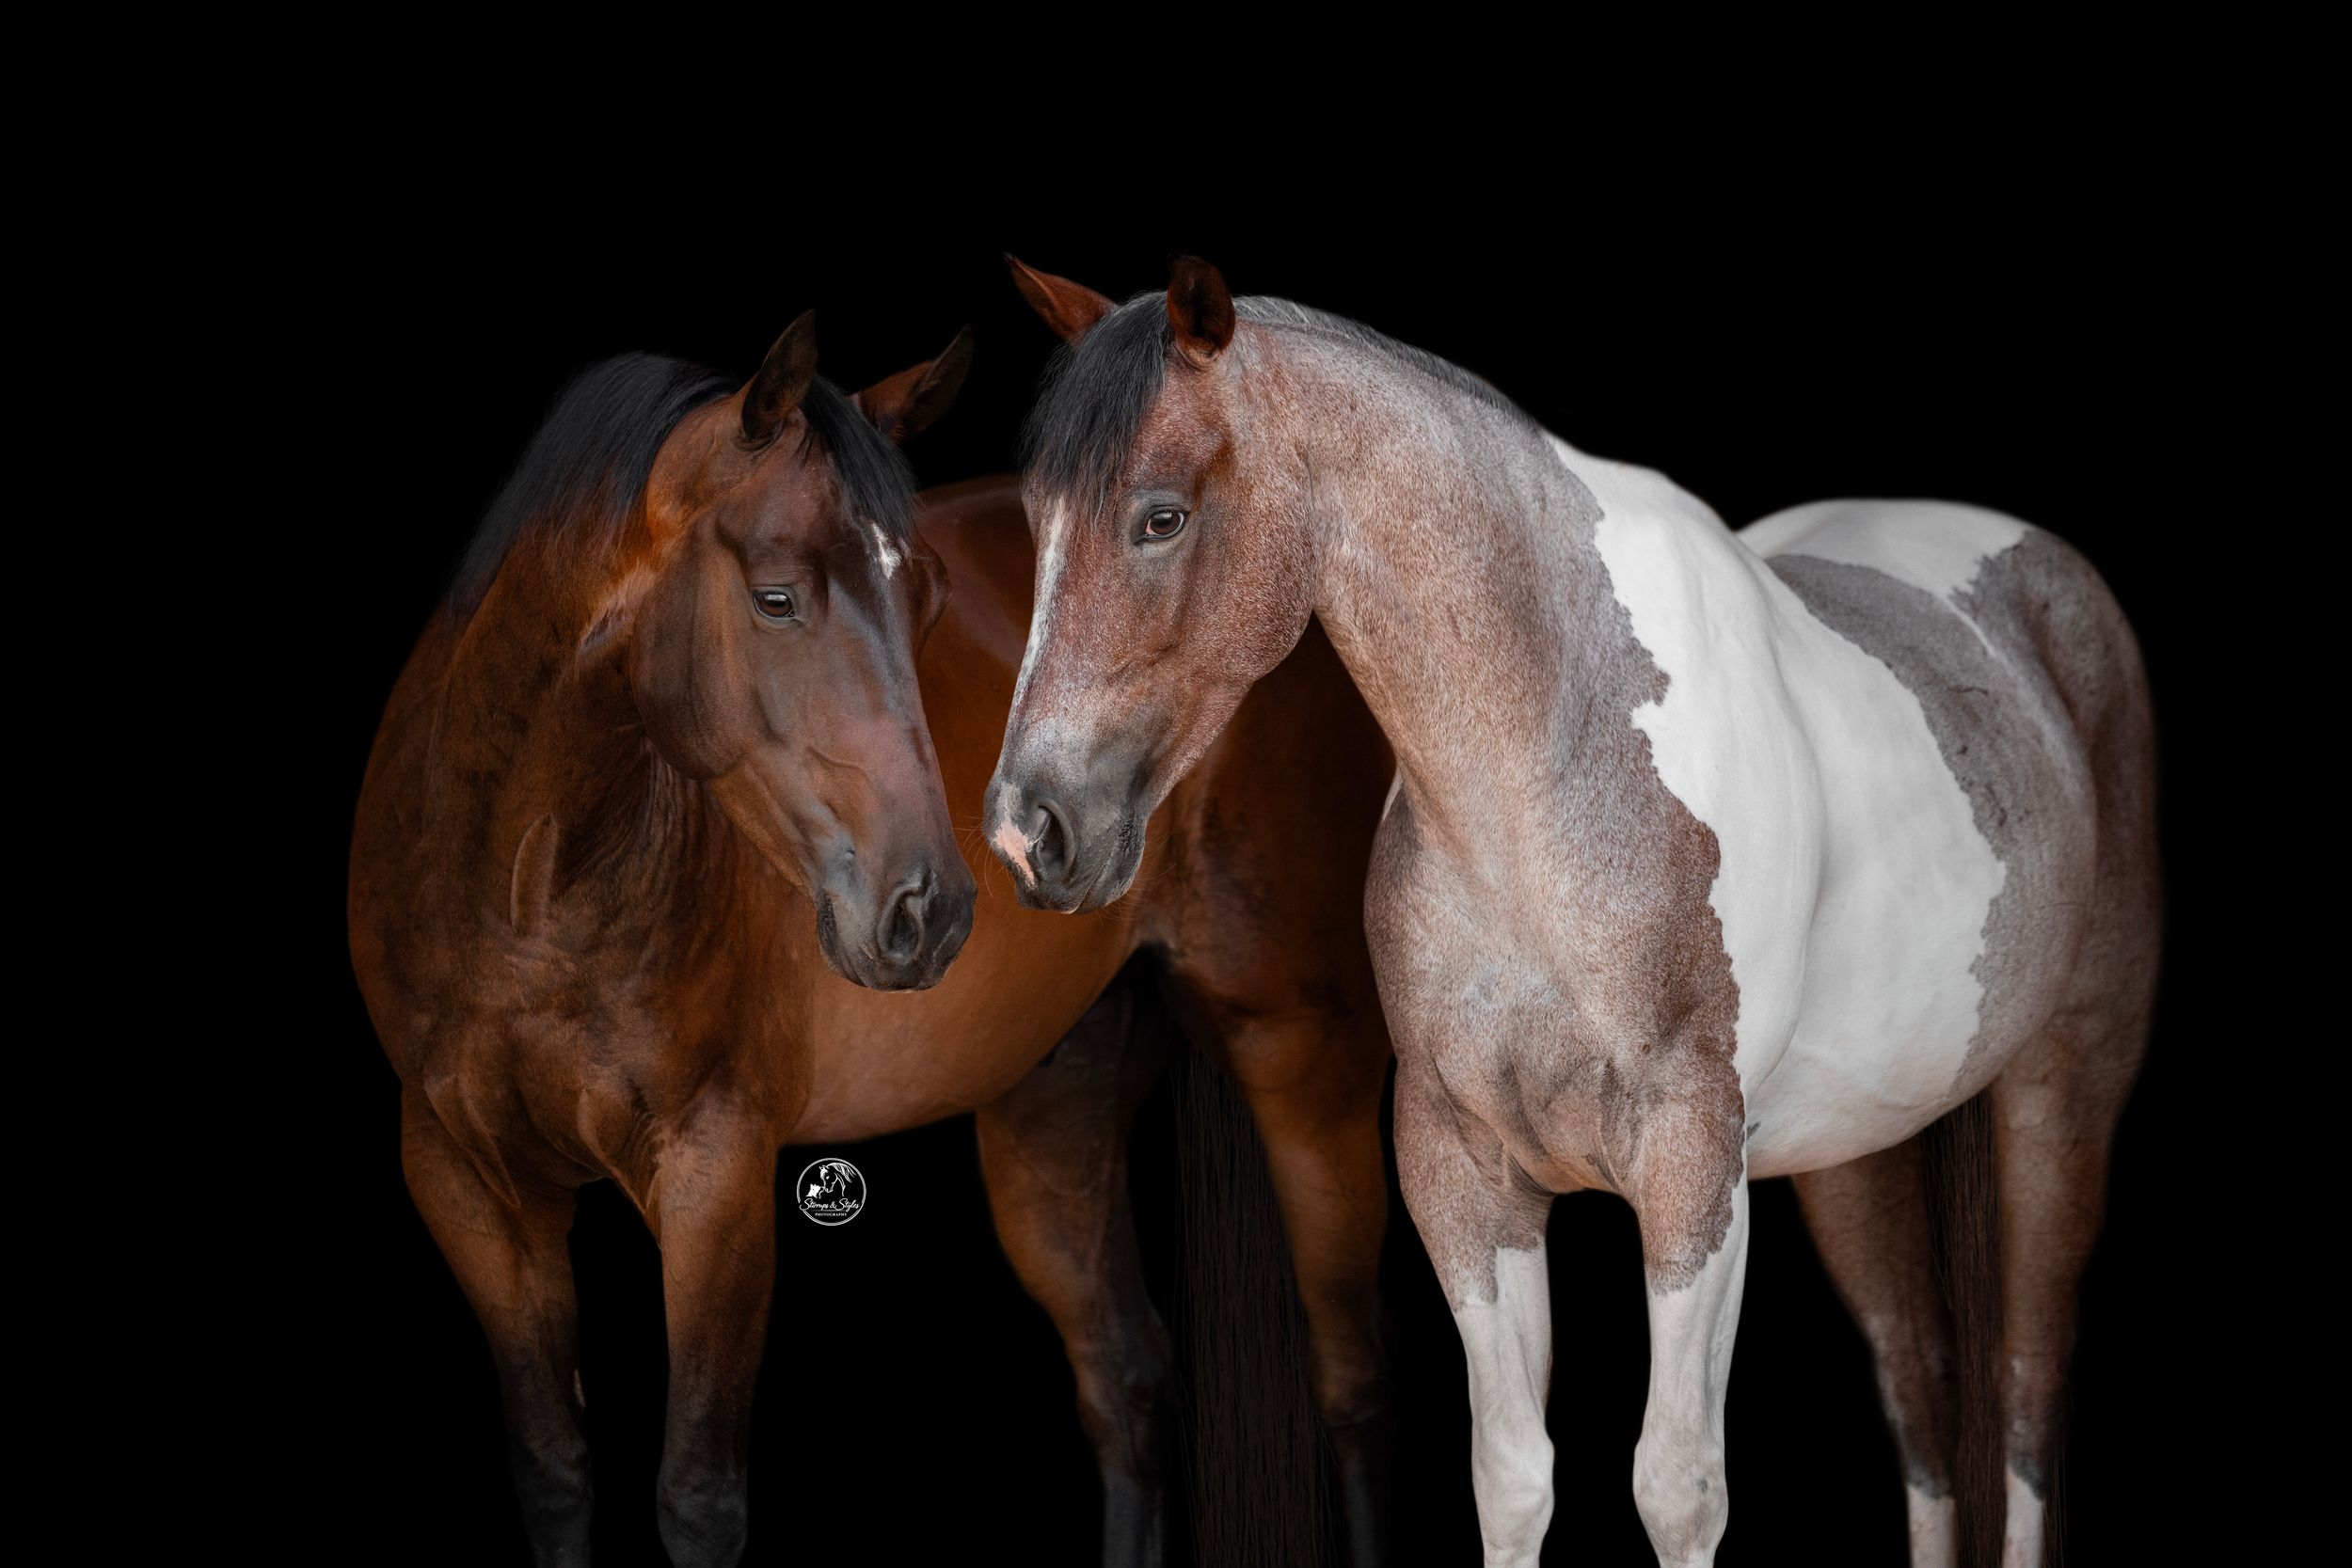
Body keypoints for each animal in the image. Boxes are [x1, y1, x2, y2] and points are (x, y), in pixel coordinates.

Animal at [347, 315, 1396, 1566]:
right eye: (774, 598)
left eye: (925, 598)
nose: (930, 909)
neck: (527, 894)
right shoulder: (468, 1186)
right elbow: (554, 1470)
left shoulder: (715, 1175)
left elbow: (696, 1494)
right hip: (1054, 1102)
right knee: (1128, 1379)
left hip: (1301, 1049)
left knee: (1349, 1385)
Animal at [983, 258, 2159, 1568]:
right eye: (1033, 523)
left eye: (1161, 517)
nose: (1029, 829)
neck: (1541, 779)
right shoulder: (1460, 1172)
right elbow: (1511, 1475)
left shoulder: (1692, 1166)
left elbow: (1676, 1484)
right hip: (1857, 1145)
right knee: (1918, 1383)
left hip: (2064, 1082)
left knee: (2024, 1386)